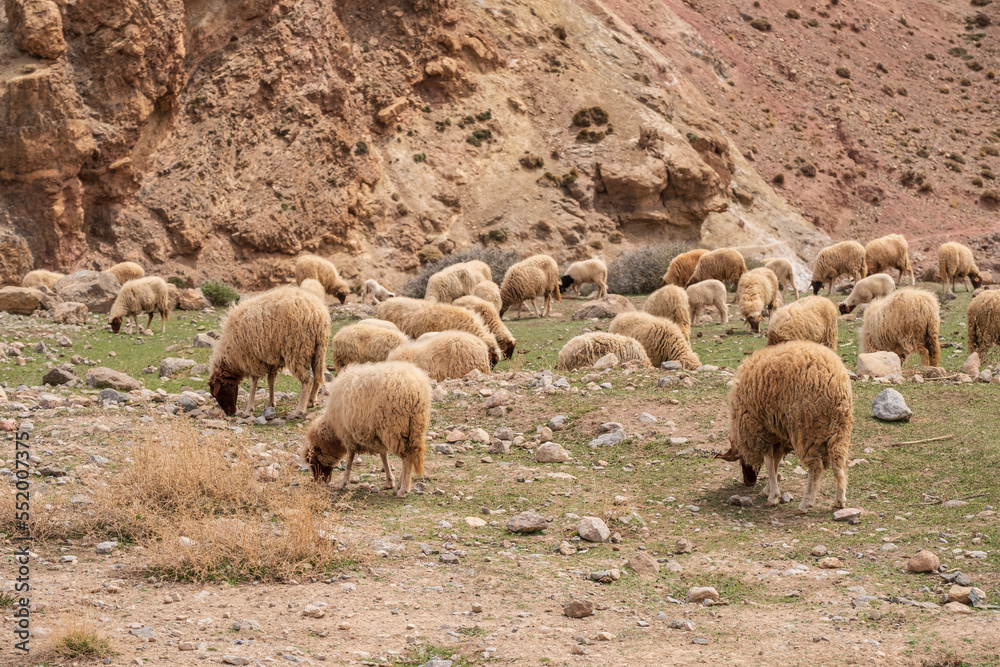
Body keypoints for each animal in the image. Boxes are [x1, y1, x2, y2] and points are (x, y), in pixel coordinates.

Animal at [208, 286, 330, 419]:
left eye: (220, 392)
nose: (230, 413)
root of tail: (316, 312)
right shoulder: (270, 359)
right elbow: (271, 380)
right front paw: (271, 403)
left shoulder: (252, 358)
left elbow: (253, 383)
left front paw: (248, 410)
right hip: (319, 350)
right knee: (318, 377)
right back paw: (311, 402)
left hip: (297, 350)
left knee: (308, 380)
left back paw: (299, 411)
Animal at [302, 361, 430, 497]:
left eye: (313, 460)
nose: (317, 481)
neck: (333, 428)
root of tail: (415, 389)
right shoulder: (377, 434)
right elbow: (383, 455)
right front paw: (389, 481)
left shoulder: (348, 434)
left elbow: (350, 458)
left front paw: (343, 482)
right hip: (412, 429)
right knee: (408, 457)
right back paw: (400, 487)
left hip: (395, 429)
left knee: (407, 458)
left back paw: (403, 489)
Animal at [715, 341, 852, 513]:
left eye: (740, 459)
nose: (748, 482)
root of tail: (834, 382)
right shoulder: (779, 434)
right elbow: (776, 461)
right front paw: (768, 489)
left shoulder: (761, 430)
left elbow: (769, 461)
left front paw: (773, 496)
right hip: (839, 430)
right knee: (839, 464)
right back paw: (840, 501)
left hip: (807, 431)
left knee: (816, 468)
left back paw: (805, 504)